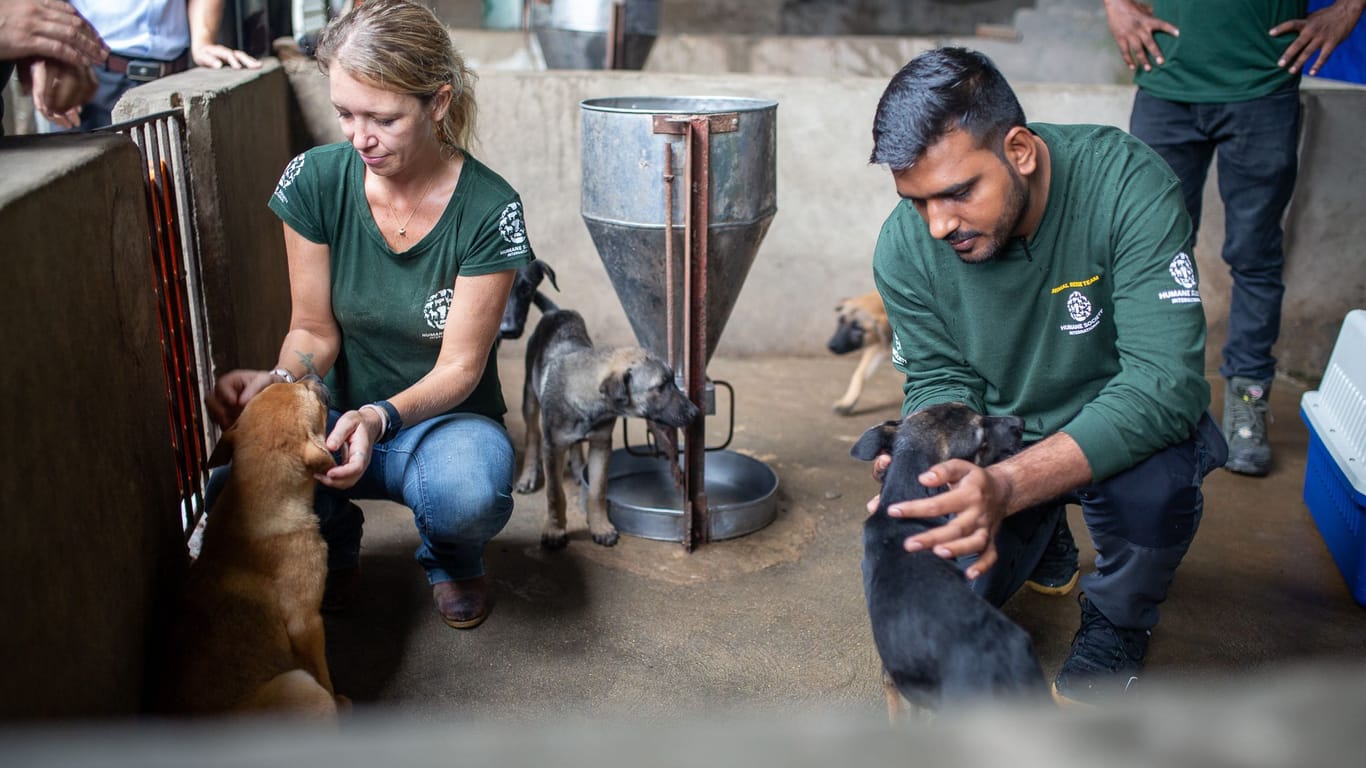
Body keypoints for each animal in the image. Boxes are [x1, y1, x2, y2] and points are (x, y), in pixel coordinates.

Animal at [159, 374, 344, 716]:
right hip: (300, 686)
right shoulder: (306, 622)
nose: (312, 376)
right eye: (308, 393)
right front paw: (341, 700)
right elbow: (322, 671)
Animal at [513, 307, 699, 546]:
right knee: (533, 433)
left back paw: (577, 466)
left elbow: (598, 490)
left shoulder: (601, 444)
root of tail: (557, 311)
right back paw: (528, 475)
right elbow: (555, 493)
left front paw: (600, 527)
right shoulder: (553, 448)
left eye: (673, 382)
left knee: (574, 444)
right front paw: (555, 529)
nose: (695, 412)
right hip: (529, 396)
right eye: (659, 387)